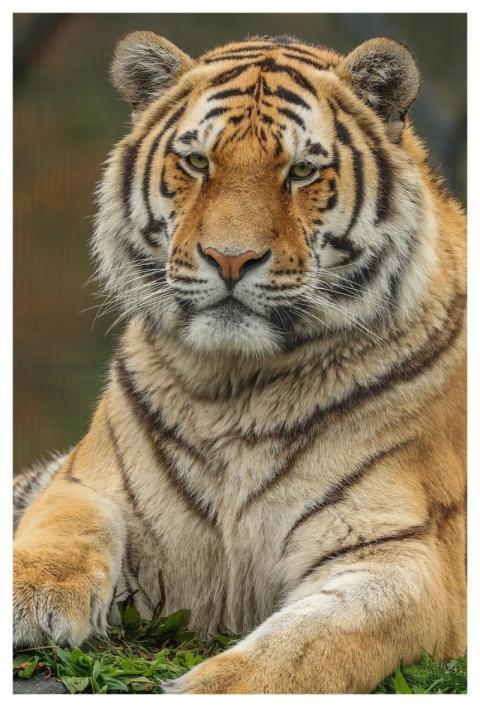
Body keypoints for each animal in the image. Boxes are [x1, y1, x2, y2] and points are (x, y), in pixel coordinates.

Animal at [13, 31, 466, 694]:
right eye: (198, 163)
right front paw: (28, 597)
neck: (235, 385)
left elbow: (307, 647)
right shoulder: (86, 480)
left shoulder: (402, 549)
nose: (230, 259)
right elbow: (62, 530)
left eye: (302, 170)